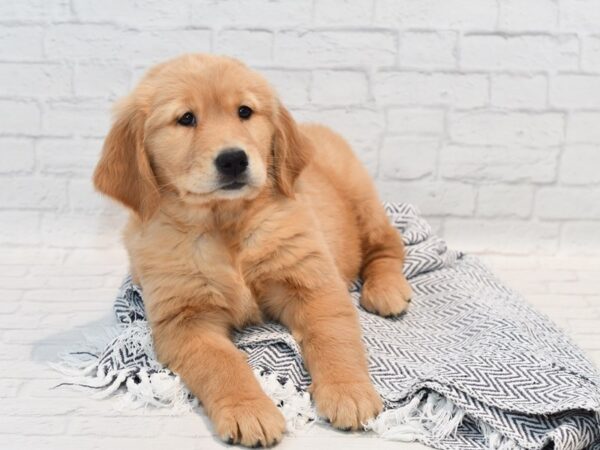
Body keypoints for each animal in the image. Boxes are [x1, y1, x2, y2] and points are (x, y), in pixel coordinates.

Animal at [94, 53, 412, 446]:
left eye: (244, 111)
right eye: (186, 118)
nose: (233, 159)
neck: (225, 225)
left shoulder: (313, 283)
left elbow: (334, 336)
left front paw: (348, 391)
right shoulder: (185, 320)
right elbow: (223, 364)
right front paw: (250, 411)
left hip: (362, 197)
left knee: (389, 244)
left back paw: (386, 290)